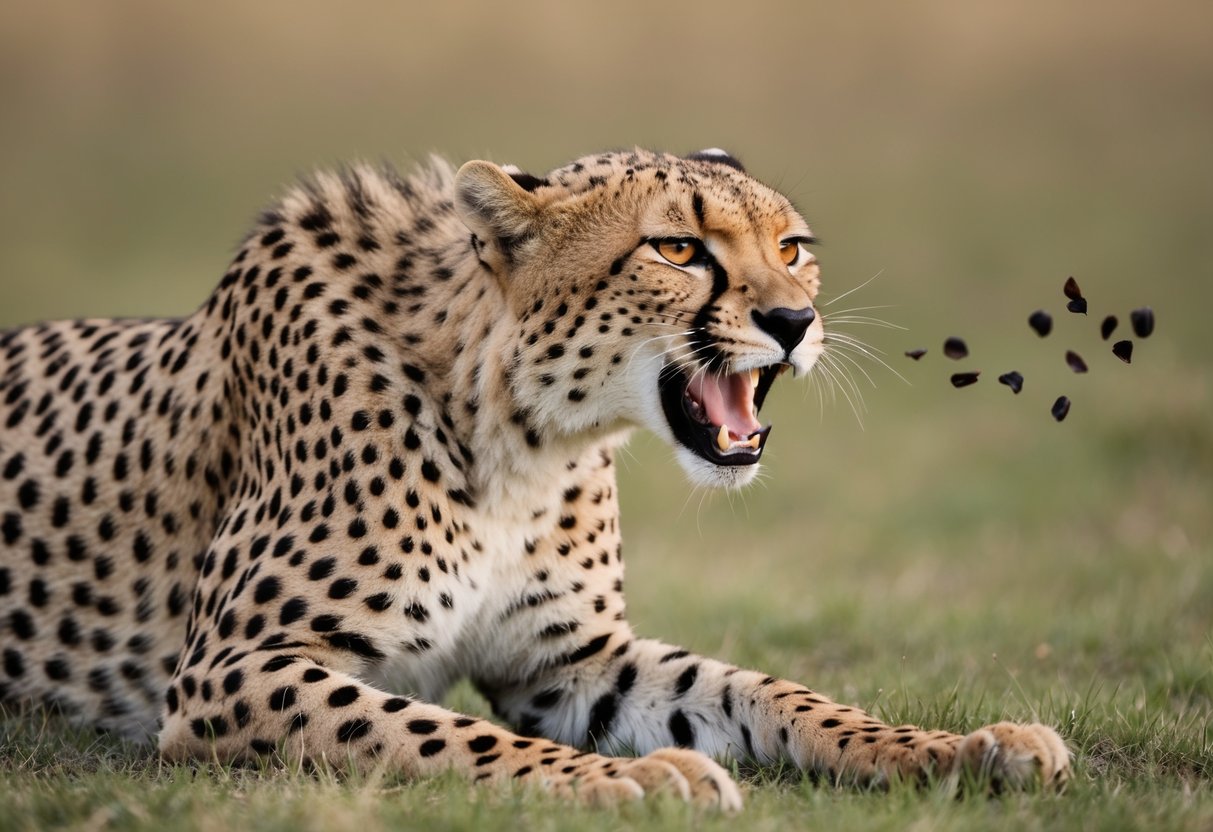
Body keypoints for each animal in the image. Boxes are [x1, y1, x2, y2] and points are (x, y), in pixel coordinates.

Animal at [0, 147, 1070, 809]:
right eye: (677, 248)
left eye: (790, 248)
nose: (794, 322)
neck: (519, 431)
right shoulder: (231, 671)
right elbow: (442, 735)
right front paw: (641, 782)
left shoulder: (569, 662)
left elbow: (772, 694)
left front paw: (967, 747)